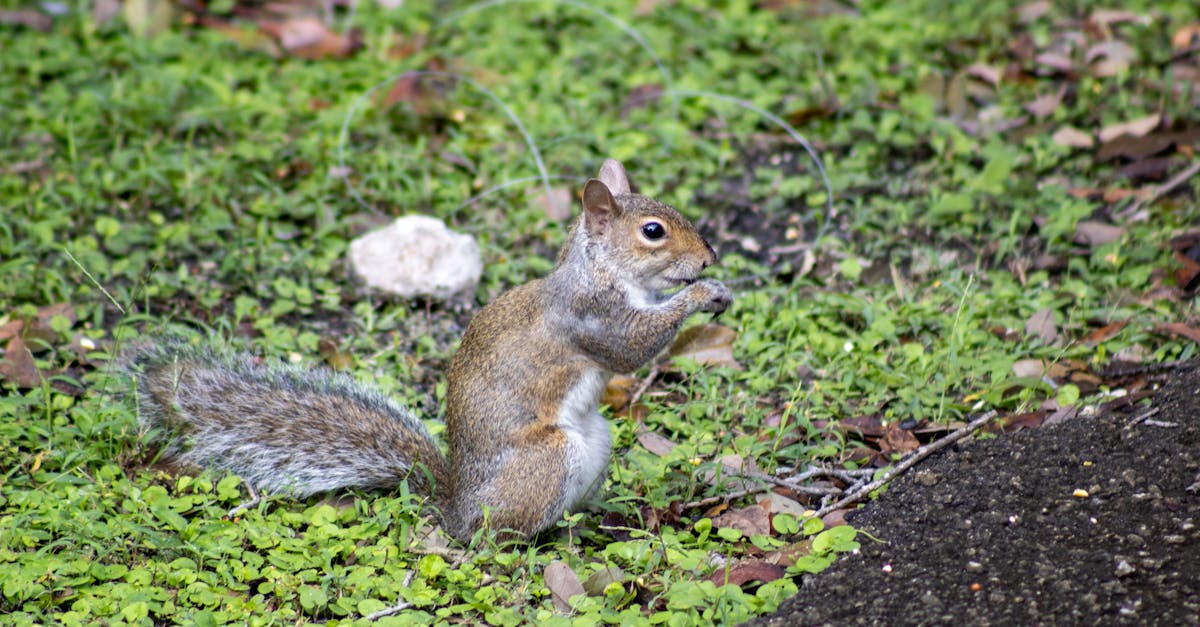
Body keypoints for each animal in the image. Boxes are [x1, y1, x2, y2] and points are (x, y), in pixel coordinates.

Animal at [132, 159, 732, 541]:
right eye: (653, 231)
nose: (709, 258)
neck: (601, 270)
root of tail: (456, 512)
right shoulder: (594, 317)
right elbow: (632, 348)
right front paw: (701, 294)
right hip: (547, 458)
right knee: (497, 539)